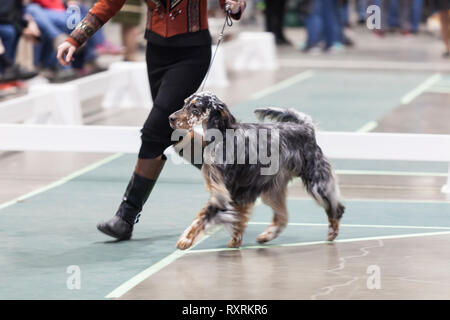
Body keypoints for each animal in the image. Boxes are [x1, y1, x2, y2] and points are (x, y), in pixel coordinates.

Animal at [169, 92, 344, 250]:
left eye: (195, 107)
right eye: (184, 103)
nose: (171, 118)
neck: (221, 138)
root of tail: (306, 127)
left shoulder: (223, 194)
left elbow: (201, 218)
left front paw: (185, 239)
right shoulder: (236, 194)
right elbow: (236, 220)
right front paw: (235, 240)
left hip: (317, 183)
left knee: (336, 208)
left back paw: (332, 232)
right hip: (273, 189)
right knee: (282, 217)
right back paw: (266, 235)